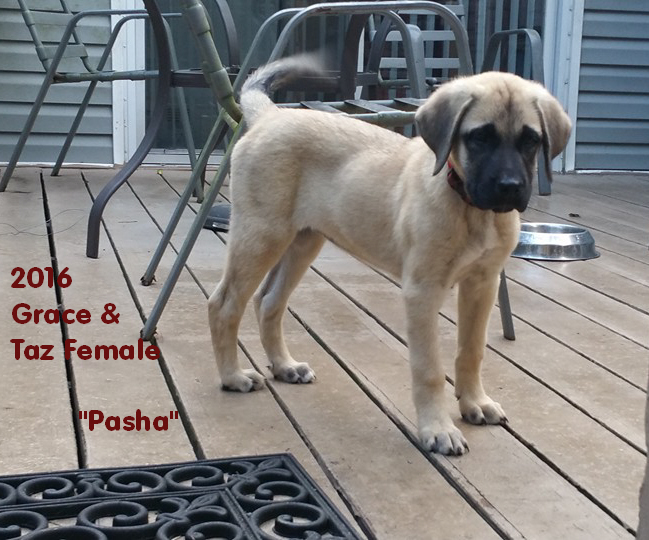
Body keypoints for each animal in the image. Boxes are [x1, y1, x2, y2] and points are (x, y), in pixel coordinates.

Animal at [208, 58, 571, 455]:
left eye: (531, 140)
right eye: (479, 137)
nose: (509, 188)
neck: (470, 208)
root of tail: (271, 116)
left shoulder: (483, 283)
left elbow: (471, 350)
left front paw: (475, 402)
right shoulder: (423, 291)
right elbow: (429, 369)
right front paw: (438, 429)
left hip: (303, 240)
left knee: (269, 301)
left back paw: (285, 366)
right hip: (261, 235)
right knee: (224, 303)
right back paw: (232, 376)